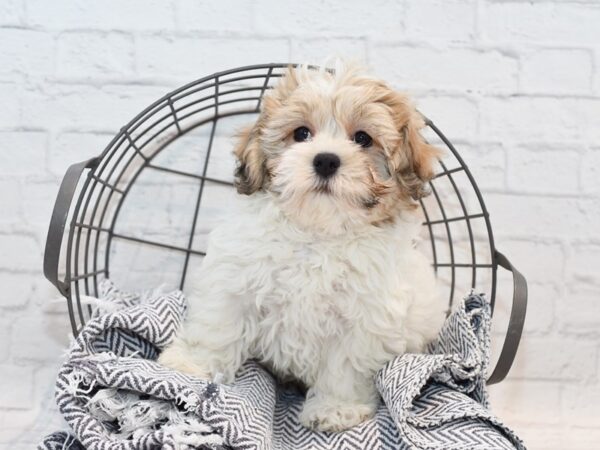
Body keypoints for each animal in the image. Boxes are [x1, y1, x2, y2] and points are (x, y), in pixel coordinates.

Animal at [157, 63, 448, 432]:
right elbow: (217, 326)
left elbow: (345, 366)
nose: (325, 161)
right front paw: (190, 364)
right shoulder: (234, 281)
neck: (317, 233)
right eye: (301, 133)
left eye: (362, 138)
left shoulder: (365, 319)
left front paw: (336, 409)